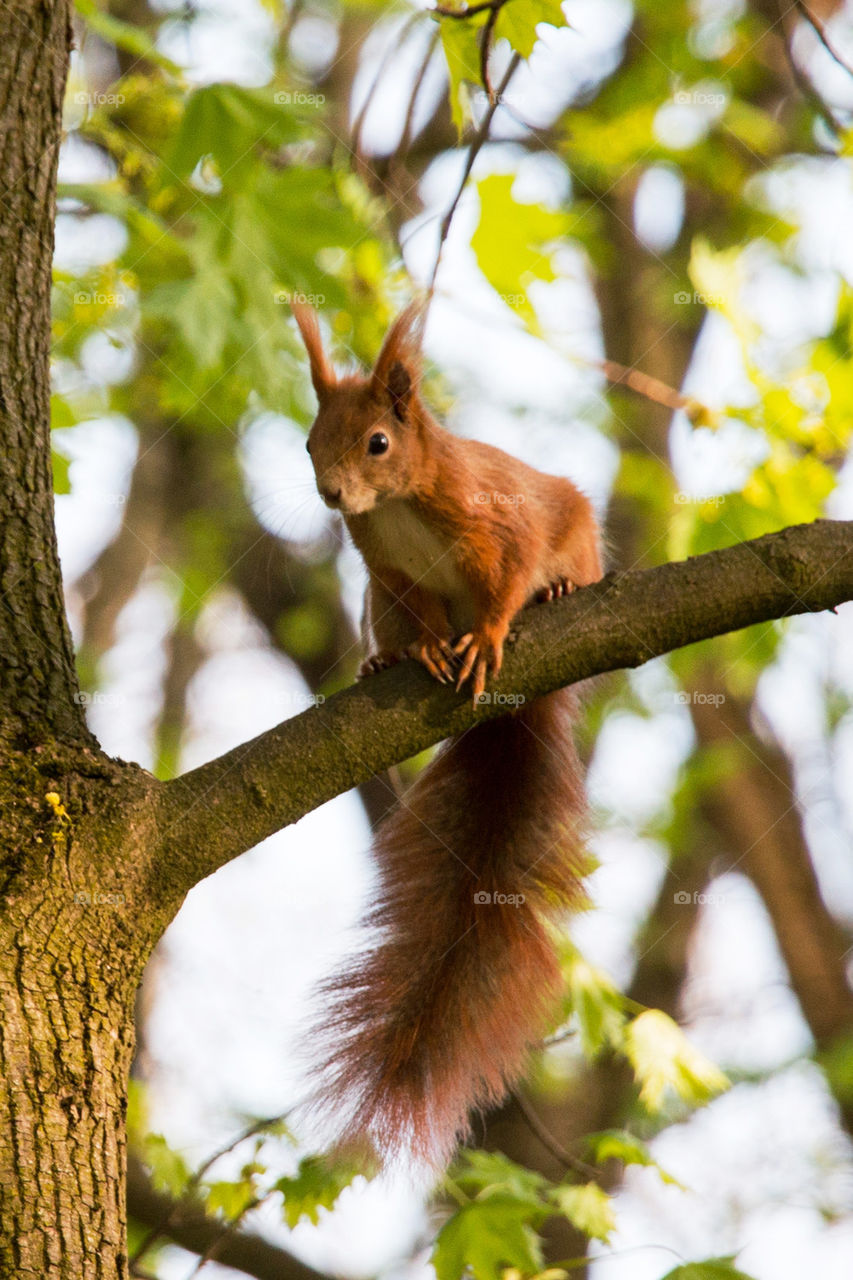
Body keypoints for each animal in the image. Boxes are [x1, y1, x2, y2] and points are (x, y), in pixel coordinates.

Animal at [292, 300, 603, 1167]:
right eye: (308, 441)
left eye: (377, 442)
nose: (331, 495)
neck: (396, 504)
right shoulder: (389, 572)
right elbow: (421, 607)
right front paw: (431, 648)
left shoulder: (494, 518)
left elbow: (510, 570)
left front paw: (491, 632)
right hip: (377, 601)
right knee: (393, 626)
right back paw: (386, 659)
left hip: (576, 529)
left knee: (559, 562)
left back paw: (559, 592)